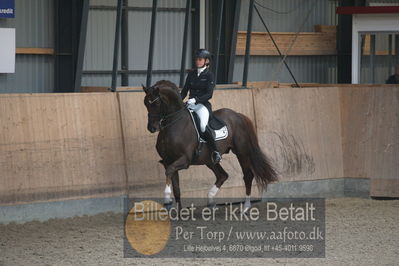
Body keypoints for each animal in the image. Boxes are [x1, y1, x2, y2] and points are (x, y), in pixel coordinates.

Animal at [144, 80, 278, 211]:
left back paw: (245, 206)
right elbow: (176, 188)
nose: (152, 128)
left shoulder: (184, 160)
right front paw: (178, 211)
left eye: (156, 103)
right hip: (209, 159)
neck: (174, 125)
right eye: (145, 103)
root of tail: (238, 115)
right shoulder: (169, 161)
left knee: (248, 175)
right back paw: (211, 200)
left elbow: (169, 172)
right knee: (223, 175)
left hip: (242, 152)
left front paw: (167, 199)